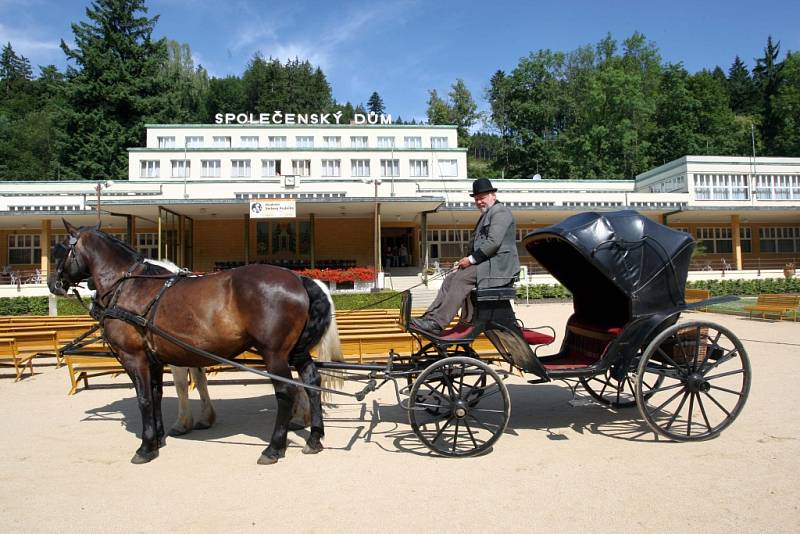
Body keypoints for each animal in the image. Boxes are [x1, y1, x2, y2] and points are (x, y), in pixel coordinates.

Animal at [47, 221, 340, 464]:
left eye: (59, 251)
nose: (52, 284)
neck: (129, 286)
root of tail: (299, 278)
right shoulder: (155, 359)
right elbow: (157, 394)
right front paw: (159, 437)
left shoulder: (135, 358)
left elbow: (145, 398)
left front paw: (146, 447)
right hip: (295, 353)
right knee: (312, 382)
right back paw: (314, 438)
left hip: (275, 354)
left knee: (286, 392)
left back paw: (274, 448)